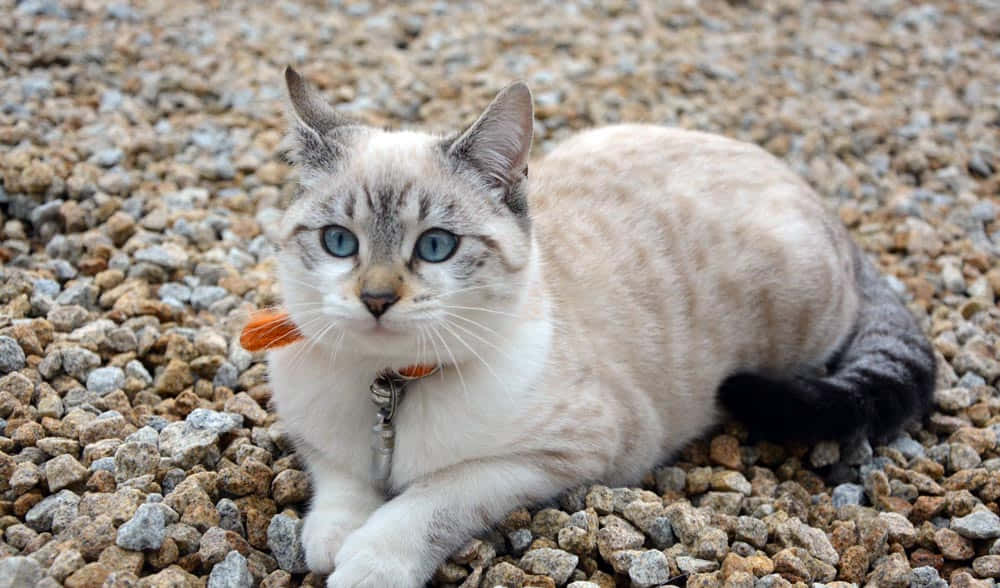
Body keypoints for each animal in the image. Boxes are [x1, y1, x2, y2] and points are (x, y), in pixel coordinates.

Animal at [262, 68, 932, 588]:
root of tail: (822, 202)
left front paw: (369, 562)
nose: (375, 299)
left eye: (435, 246)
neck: (390, 388)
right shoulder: (315, 428)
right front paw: (330, 538)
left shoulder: (557, 455)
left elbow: (433, 500)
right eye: (340, 242)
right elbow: (339, 476)